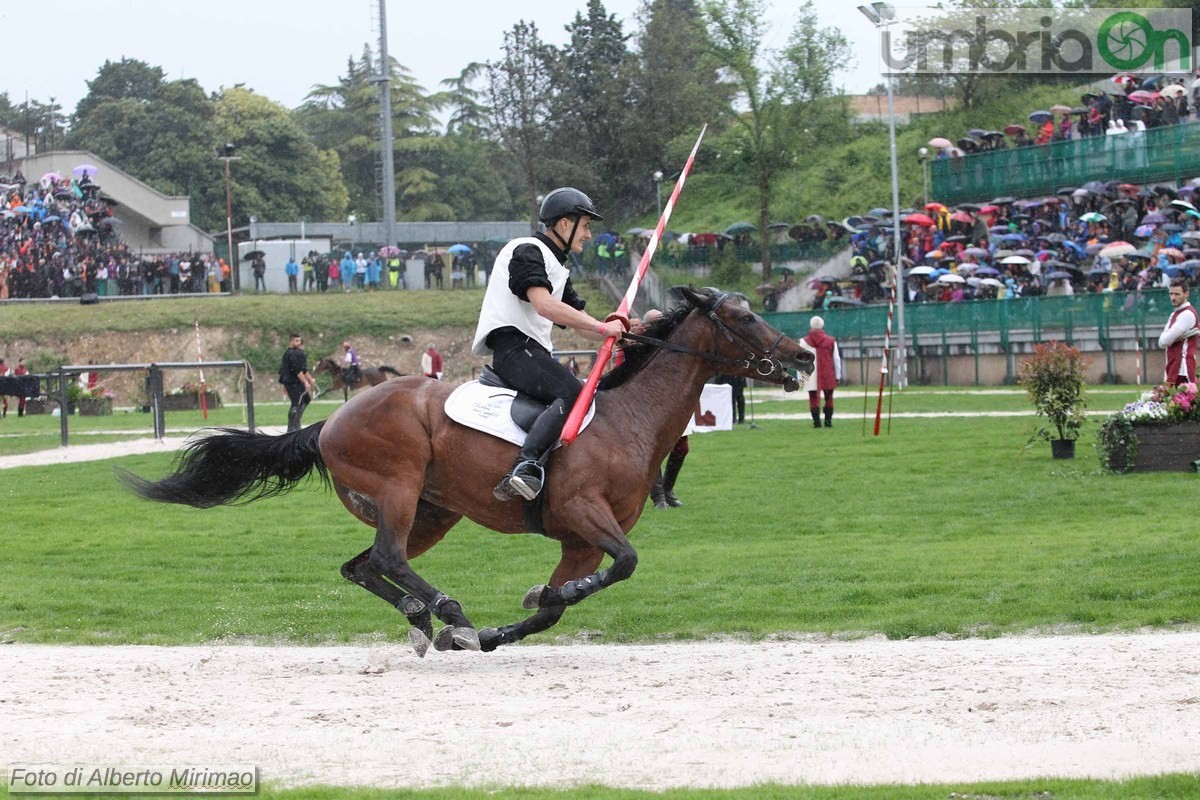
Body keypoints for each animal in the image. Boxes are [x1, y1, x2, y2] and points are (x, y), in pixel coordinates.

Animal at [117, 287, 816, 657]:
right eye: (744, 317)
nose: (805, 355)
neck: (630, 417)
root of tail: (330, 420)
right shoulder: (584, 514)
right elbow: (626, 563)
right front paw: (526, 602)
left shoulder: (579, 542)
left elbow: (559, 606)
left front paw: (514, 620)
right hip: (398, 487)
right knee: (388, 558)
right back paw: (446, 610)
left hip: (433, 512)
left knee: (363, 565)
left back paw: (424, 619)